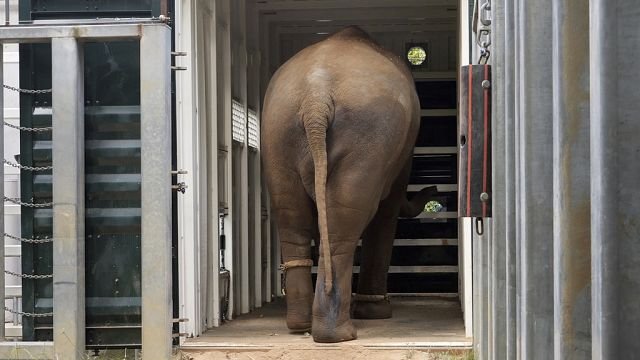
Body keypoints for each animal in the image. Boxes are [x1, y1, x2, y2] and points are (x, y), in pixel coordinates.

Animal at [260, 26, 436, 344]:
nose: (434, 191)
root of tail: (316, 97)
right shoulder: (401, 154)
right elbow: (387, 211)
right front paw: (377, 313)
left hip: (278, 131)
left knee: (291, 216)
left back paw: (300, 326)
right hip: (366, 135)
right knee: (345, 222)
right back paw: (338, 334)